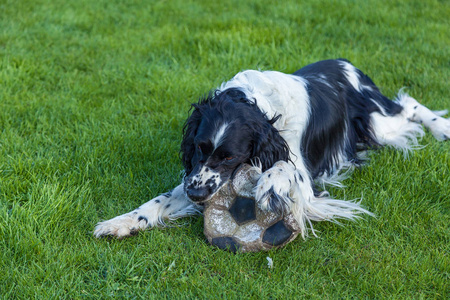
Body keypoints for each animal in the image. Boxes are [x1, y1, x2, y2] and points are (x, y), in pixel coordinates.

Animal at [93, 58, 448, 237]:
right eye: (198, 147)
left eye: (230, 157)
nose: (196, 195)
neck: (252, 102)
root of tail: (351, 66)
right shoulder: (197, 176)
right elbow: (159, 200)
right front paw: (120, 222)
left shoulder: (300, 176)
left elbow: (284, 166)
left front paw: (269, 185)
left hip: (377, 123)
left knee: (409, 104)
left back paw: (442, 127)